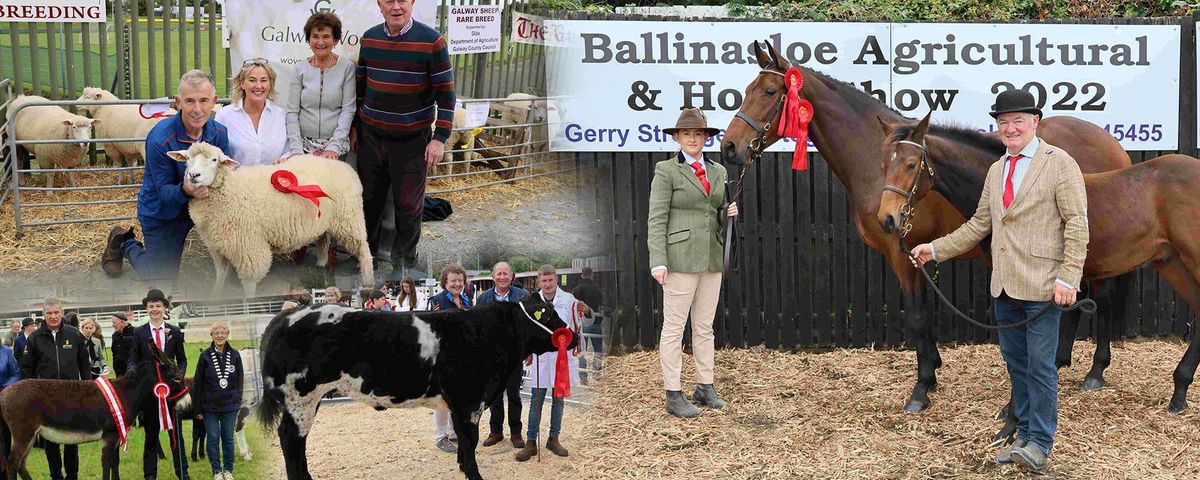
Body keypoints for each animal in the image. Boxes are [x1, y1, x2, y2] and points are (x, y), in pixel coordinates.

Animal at [0, 345, 188, 480]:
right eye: (176, 377)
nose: (186, 403)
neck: (126, 392)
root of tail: (4, 393)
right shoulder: (110, 435)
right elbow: (106, 464)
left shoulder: (118, 434)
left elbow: (115, 464)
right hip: (23, 433)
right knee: (12, 463)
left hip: (30, 434)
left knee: (20, 465)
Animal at [169, 142, 372, 297]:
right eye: (188, 159)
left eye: (214, 160)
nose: (193, 176)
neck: (227, 190)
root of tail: (345, 167)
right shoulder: (217, 245)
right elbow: (221, 274)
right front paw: (215, 297)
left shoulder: (250, 248)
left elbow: (250, 283)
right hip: (322, 221)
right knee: (323, 240)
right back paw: (321, 264)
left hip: (349, 218)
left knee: (364, 250)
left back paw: (368, 280)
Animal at [259, 296, 576, 480]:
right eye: (547, 314)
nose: (571, 336)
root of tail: (284, 317)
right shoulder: (469, 400)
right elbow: (470, 440)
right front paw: (473, 475)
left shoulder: (458, 404)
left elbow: (464, 441)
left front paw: (461, 466)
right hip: (300, 398)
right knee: (291, 440)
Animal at [720, 39, 1132, 415]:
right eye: (747, 90)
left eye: (769, 91)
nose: (729, 147)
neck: (879, 165)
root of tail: (1110, 142)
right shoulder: (912, 254)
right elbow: (923, 312)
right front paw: (932, 370)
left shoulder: (901, 252)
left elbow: (917, 316)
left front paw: (921, 388)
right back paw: (1060, 361)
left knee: (1103, 295)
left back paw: (1095, 370)